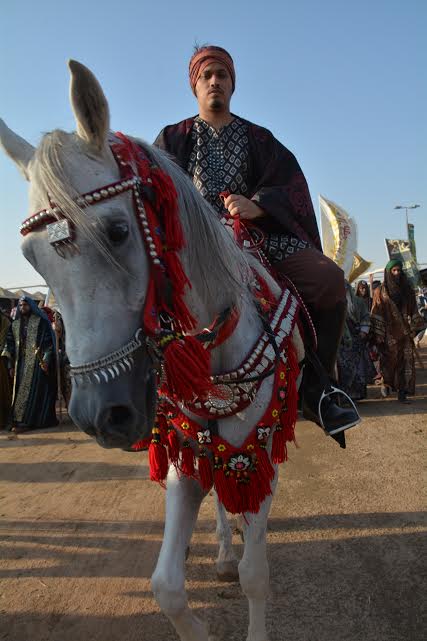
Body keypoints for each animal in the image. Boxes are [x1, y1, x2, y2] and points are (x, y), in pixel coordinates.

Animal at [0, 61, 304, 640]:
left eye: (119, 230)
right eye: (30, 256)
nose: (102, 416)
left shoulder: (259, 449)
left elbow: (257, 575)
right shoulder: (188, 455)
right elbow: (166, 588)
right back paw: (222, 553)